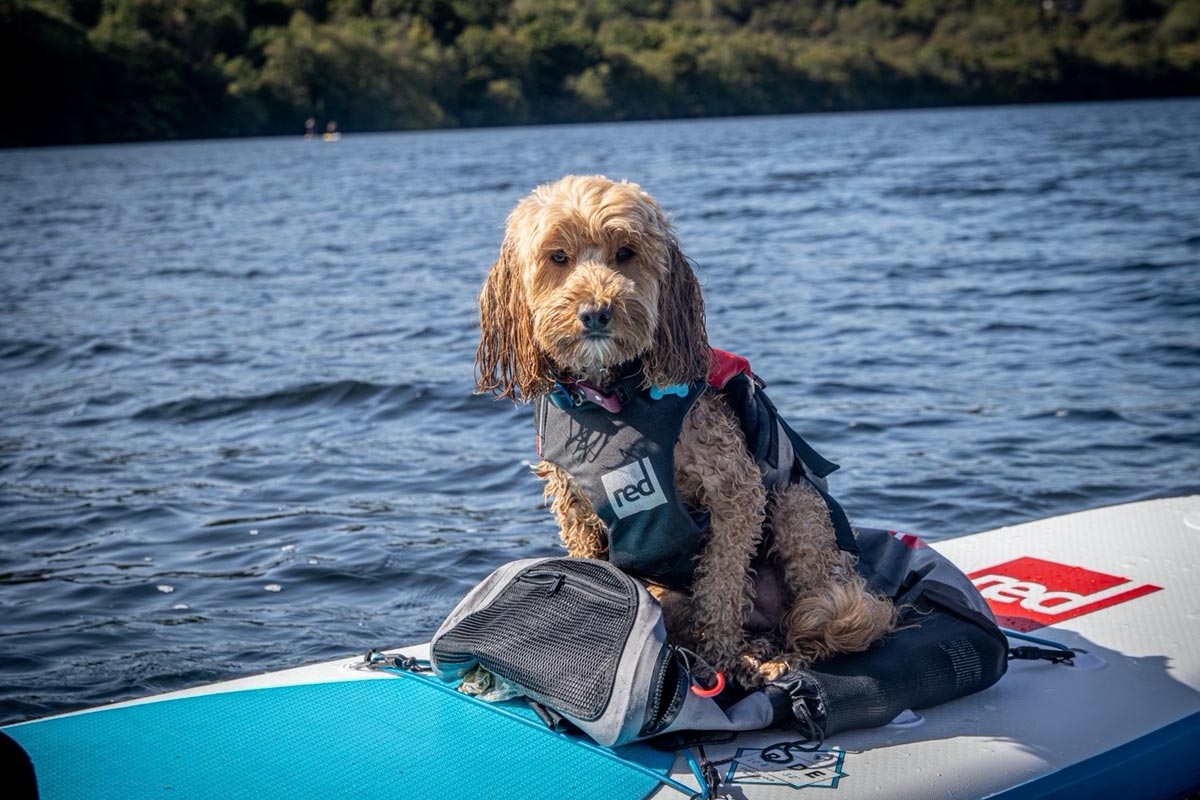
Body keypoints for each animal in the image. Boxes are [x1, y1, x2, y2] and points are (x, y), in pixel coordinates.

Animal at [472, 175, 897, 690]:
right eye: (557, 257)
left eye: (625, 252)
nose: (596, 312)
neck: (613, 397)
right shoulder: (575, 508)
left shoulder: (736, 493)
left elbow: (721, 587)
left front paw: (723, 660)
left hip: (801, 511)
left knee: (808, 623)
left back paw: (767, 656)